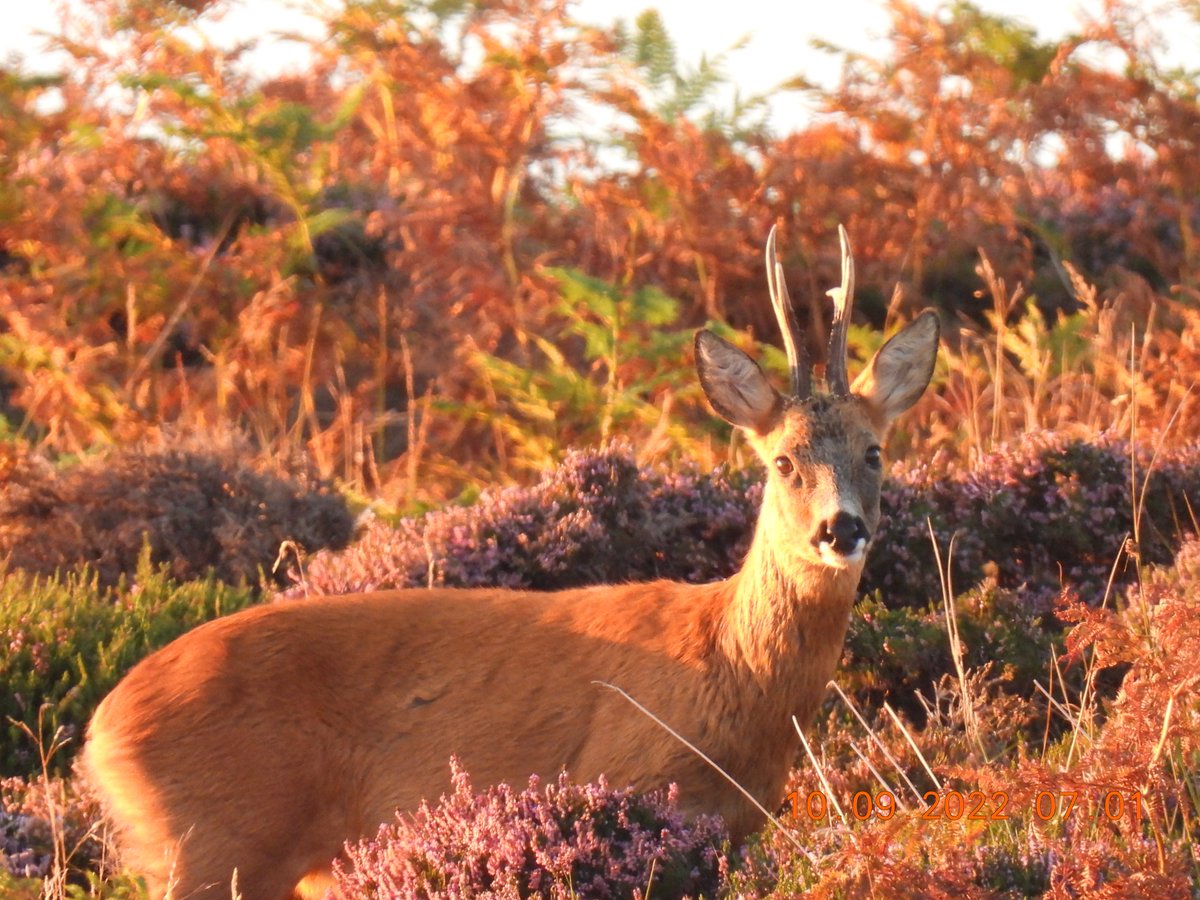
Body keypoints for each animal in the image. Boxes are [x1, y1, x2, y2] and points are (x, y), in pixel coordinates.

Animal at [82, 226, 939, 900]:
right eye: (784, 461)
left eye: (874, 451)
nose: (841, 529)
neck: (729, 669)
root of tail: (102, 729)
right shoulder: (632, 783)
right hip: (215, 843)